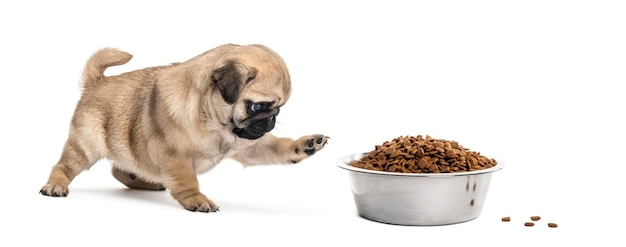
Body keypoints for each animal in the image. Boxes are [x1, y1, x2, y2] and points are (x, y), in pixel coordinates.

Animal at [40, 44, 326, 212]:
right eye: (258, 106)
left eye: (279, 107)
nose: (271, 119)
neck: (213, 123)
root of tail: (96, 82)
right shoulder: (173, 155)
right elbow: (187, 181)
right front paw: (196, 199)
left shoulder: (249, 146)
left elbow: (276, 147)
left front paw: (305, 145)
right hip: (85, 146)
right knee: (64, 166)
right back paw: (55, 186)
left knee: (120, 169)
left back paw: (146, 182)